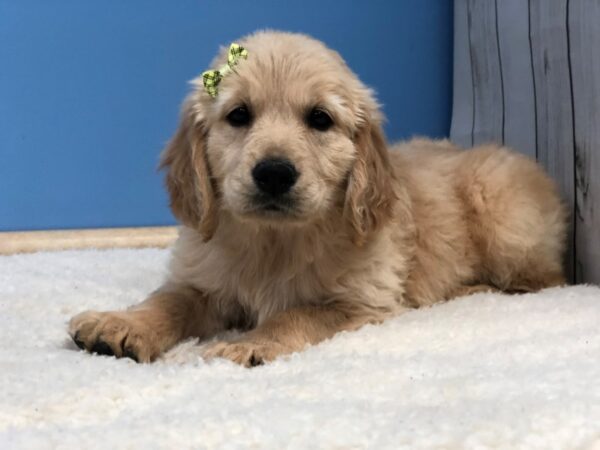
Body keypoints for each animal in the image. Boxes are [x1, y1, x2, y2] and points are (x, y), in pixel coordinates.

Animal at [69, 32, 568, 370]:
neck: (273, 242)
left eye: (320, 119)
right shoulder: (203, 278)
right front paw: (122, 324)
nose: (274, 173)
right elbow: (169, 300)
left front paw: (250, 342)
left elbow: (298, 313)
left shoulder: (361, 301)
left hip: (502, 213)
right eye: (238, 115)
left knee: (545, 280)